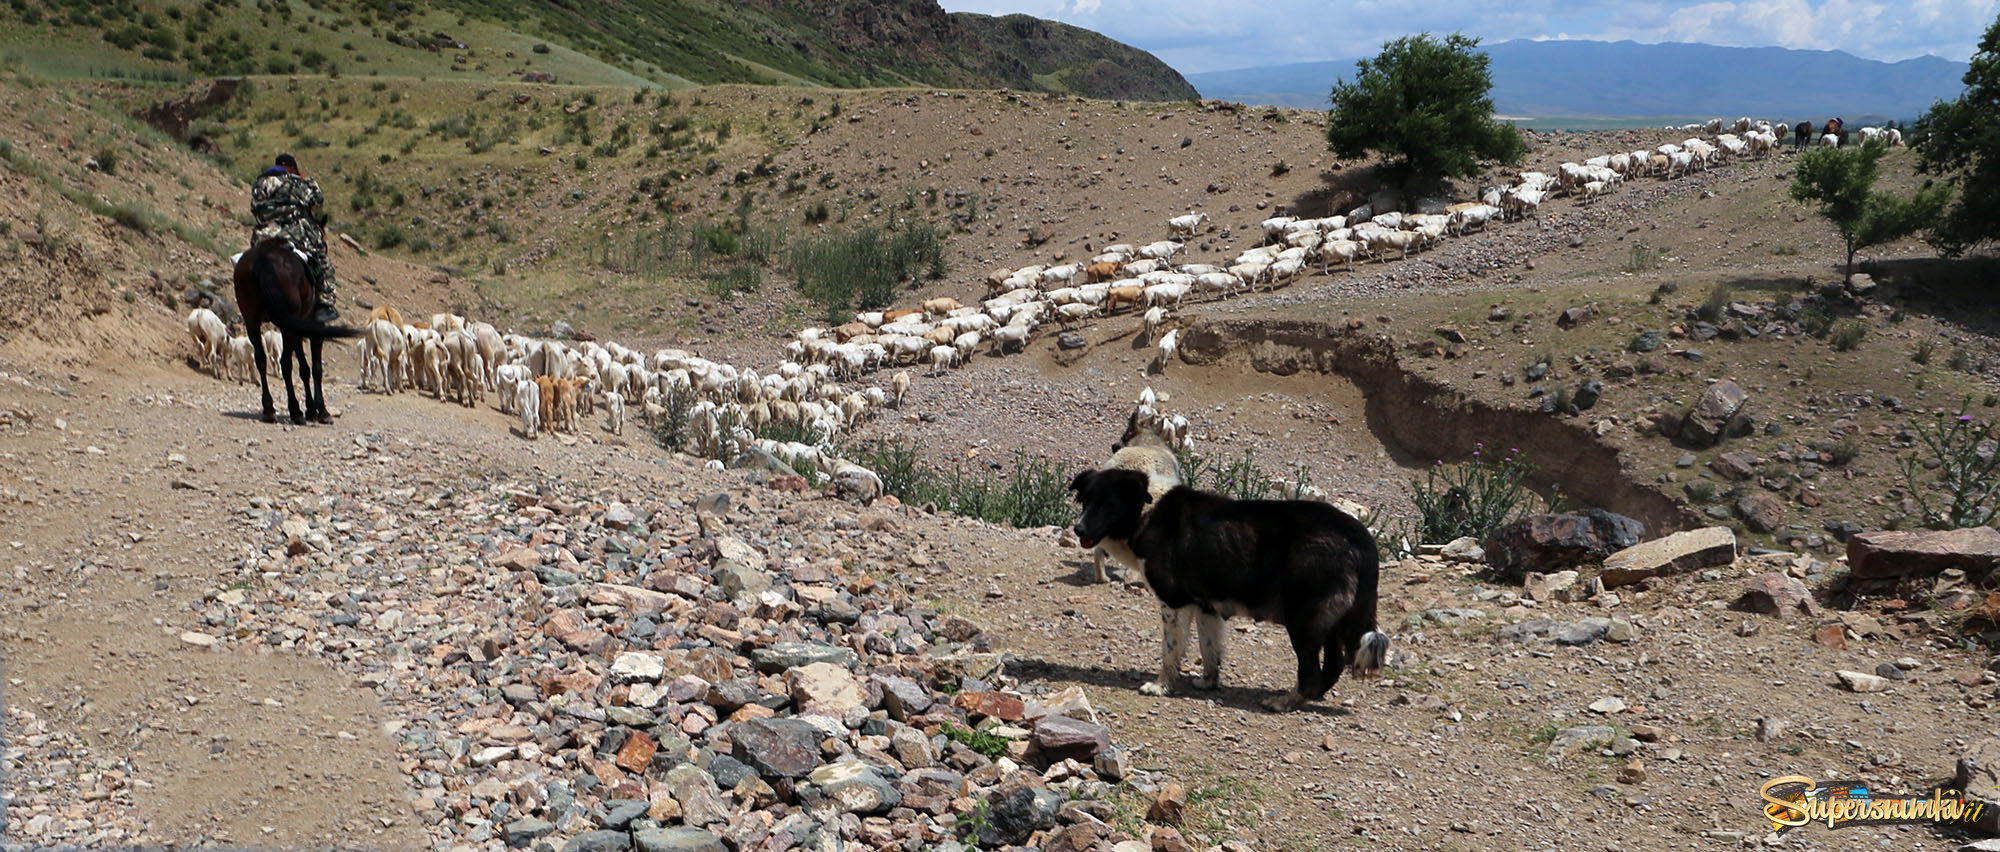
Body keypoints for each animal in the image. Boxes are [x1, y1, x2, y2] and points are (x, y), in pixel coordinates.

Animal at [234, 236, 360, 422]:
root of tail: (262, 257)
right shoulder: (316, 328)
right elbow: (316, 368)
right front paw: (321, 410)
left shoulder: (300, 328)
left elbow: (304, 368)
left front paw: (311, 409)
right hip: (287, 326)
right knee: (285, 362)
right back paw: (295, 411)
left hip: (252, 320)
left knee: (261, 359)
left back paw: (269, 409)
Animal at [1072, 466, 1384, 712]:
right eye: (1085, 501)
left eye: (1108, 505)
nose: (1078, 530)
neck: (1145, 511)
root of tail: (1360, 538)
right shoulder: (1206, 606)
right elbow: (1209, 650)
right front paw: (1208, 682)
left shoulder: (1173, 602)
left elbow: (1171, 651)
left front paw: (1161, 686)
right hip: (1332, 622)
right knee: (1333, 666)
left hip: (1304, 620)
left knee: (1310, 672)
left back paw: (1284, 702)